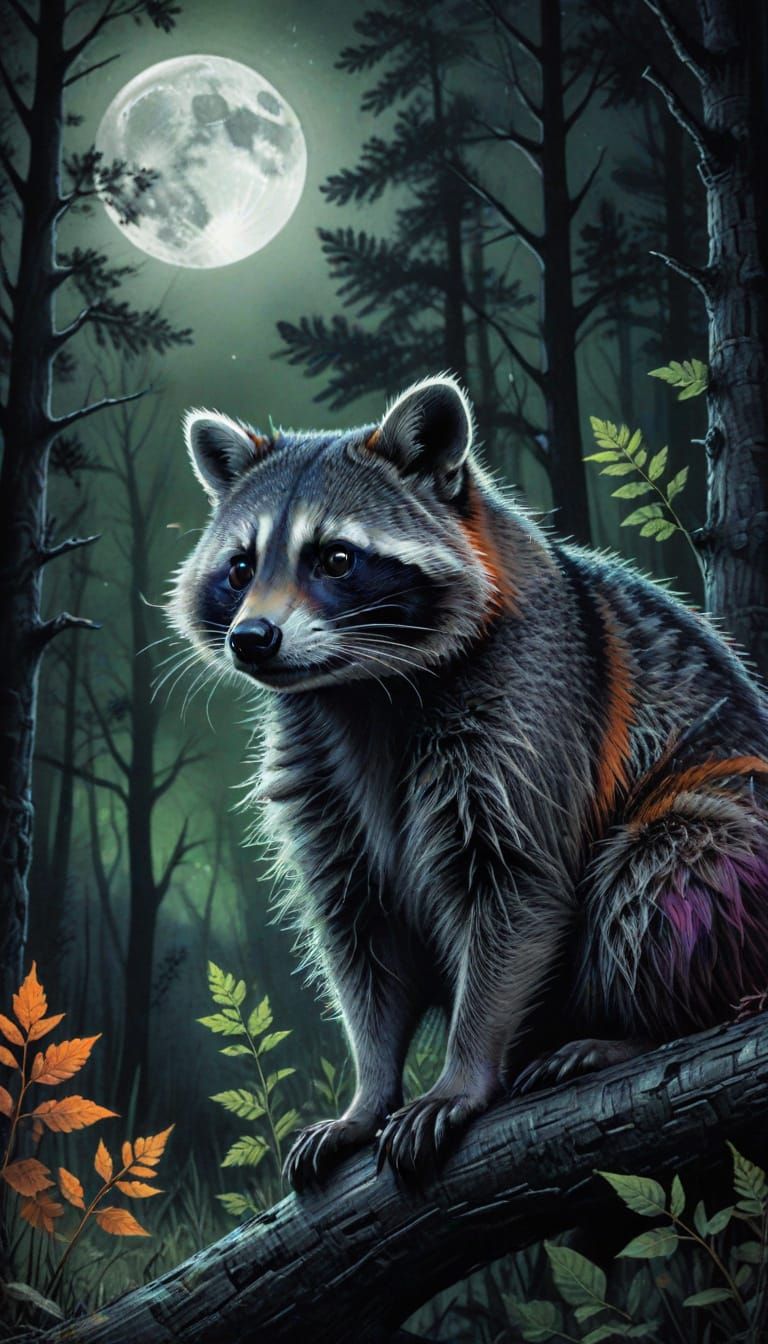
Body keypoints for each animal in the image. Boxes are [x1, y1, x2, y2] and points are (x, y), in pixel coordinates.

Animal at [169, 374, 768, 1189]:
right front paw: (369, 1092)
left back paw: (641, 1029)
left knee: (667, 873)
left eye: (335, 559)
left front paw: (464, 1071)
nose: (251, 638)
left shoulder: (531, 710)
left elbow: (518, 890)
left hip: (730, 831)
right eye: (239, 568)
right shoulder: (318, 775)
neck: (361, 689)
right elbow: (360, 935)